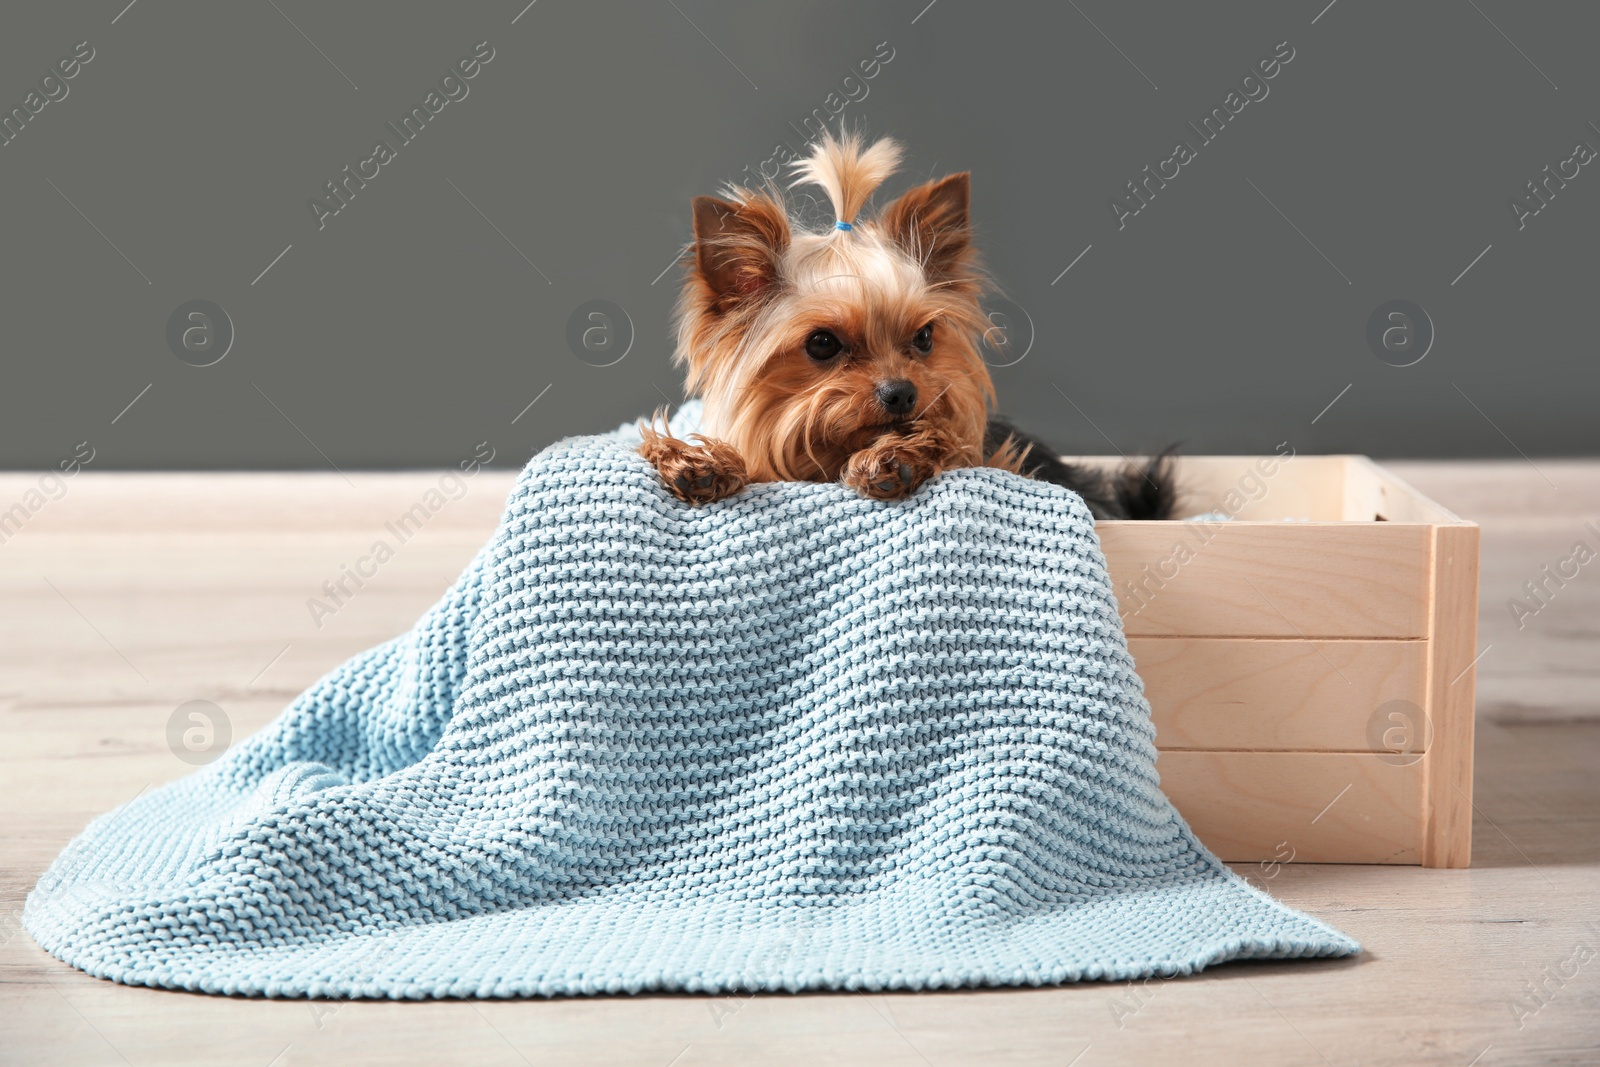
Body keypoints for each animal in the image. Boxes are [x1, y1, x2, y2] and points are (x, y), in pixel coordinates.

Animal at [636, 131, 1177, 524]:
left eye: (924, 338)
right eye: (822, 343)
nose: (901, 393)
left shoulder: (999, 462)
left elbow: (955, 449)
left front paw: (899, 457)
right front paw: (698, 463)